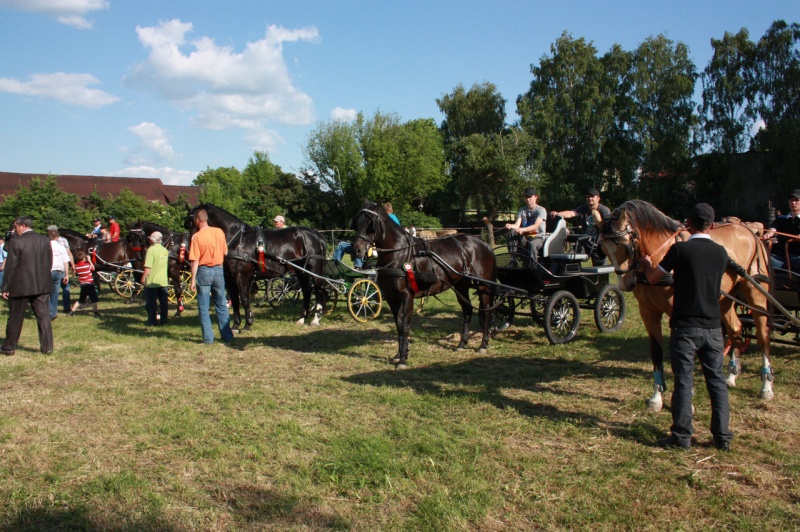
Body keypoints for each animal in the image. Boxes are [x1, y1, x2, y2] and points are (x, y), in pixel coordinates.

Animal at [185, 204, 329, 331]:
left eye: (191, 221)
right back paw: (302, 319)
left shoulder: (241, 277)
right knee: (307, 291)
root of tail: (316, 234)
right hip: (301, 272)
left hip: (314, 269)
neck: (237, 240)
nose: (190, 249)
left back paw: (315, 319)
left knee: (319, 290)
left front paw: (247, 325)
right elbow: (235, 301)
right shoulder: (230, 279)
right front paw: (235, 326)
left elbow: (244, 299)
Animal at [350, 200, 497, 368]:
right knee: (467, 310)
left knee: (486, 311)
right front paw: (399, 354)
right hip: (461, 285)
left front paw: (403, 359)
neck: (399, 254)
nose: (356, 250)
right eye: (357, 222)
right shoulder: (392, 298)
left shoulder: (407, 296)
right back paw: (461, 344)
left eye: (371, 224)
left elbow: (405, 326)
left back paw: (483, 344)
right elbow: (398, 325)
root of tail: (483, 243)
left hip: (483, 285)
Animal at [597, 200, 773, 411]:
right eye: (604, 249)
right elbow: (657, 352)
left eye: (626, 246)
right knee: (736, 329)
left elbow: (682, 355)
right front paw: (656, 397)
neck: (660, 260)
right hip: (724, 300)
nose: (626, 283)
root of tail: (749, 230)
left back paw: (766, 387)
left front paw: (686, 401)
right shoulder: (648, 312)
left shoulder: (680, 315)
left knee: (763, 335)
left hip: (756, 294)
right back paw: (731, 376)